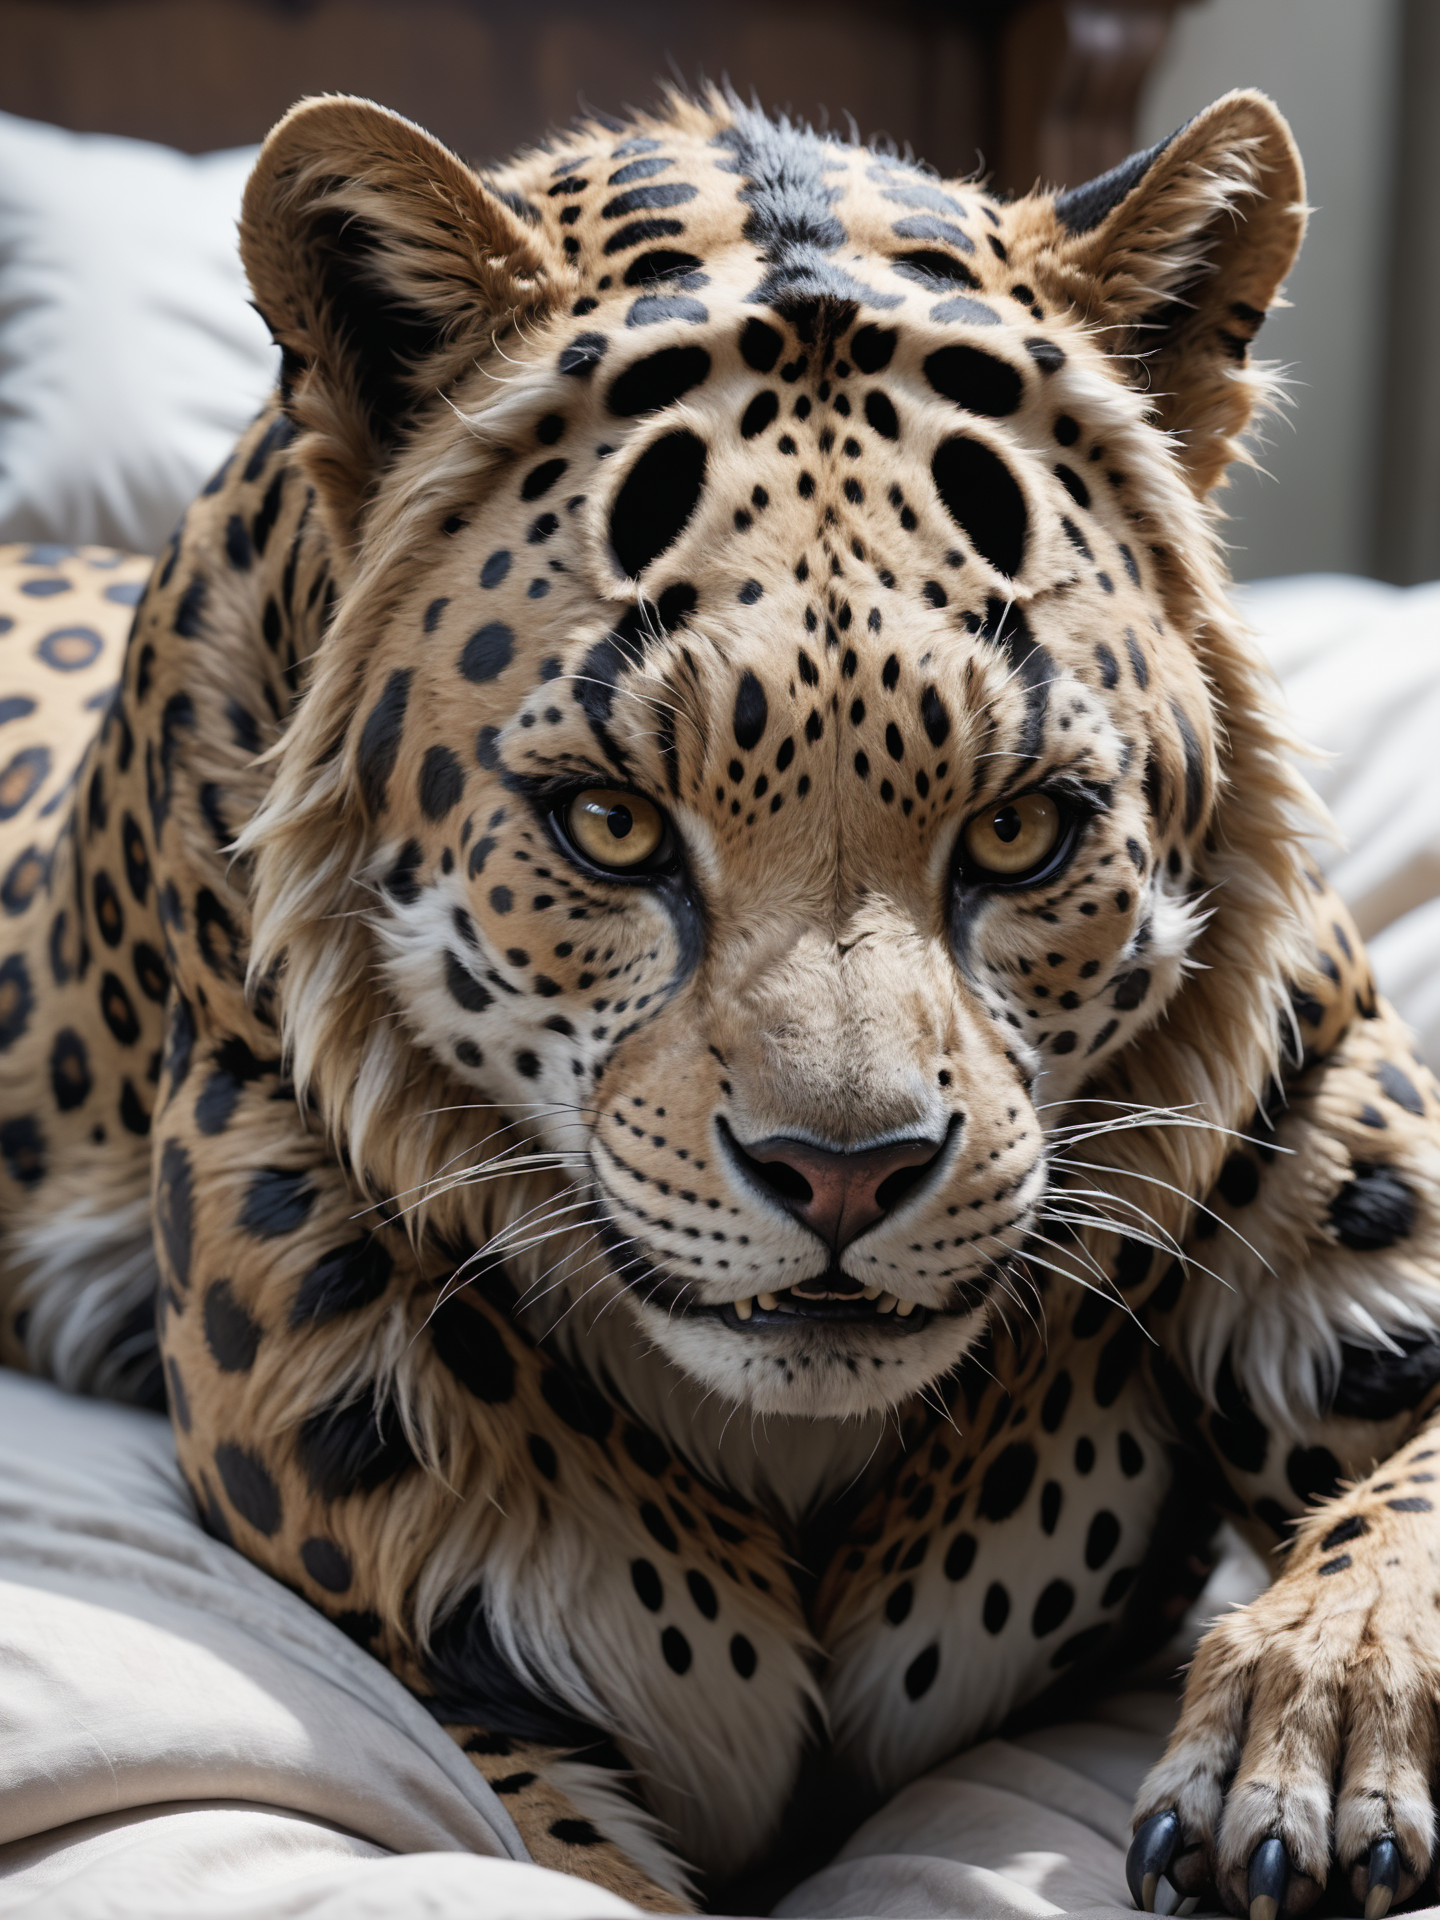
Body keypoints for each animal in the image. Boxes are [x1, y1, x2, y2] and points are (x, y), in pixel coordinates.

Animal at [3, 78, 1440, 1920]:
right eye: (612, 826)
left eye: (1023, 829)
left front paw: (1310, 1736)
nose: (842, 1178)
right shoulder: (445, 1656)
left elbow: (1407, 1497)